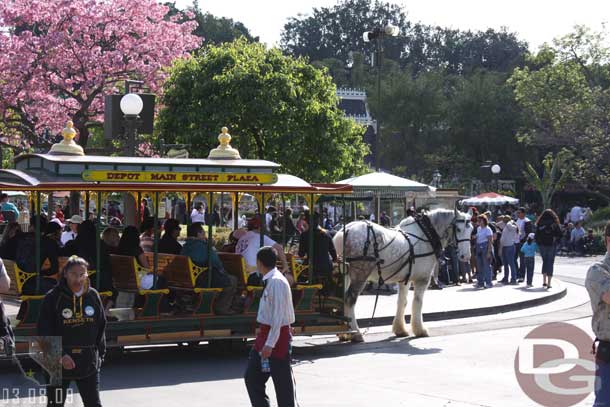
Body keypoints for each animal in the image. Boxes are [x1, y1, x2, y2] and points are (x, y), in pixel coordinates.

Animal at [332, 209, 470, 342]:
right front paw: (420, 329)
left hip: (345, 274)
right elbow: (417, 302)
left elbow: (402, 302)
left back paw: (344, 332)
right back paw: (356, 333)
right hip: (360, 273)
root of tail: (346, 230)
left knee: (342, 299)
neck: (426, 235)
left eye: (471, 229)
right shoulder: (422, 279)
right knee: (350, 299)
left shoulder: (405, 279)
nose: (466, 256)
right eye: (458, 229)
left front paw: (400, 330)